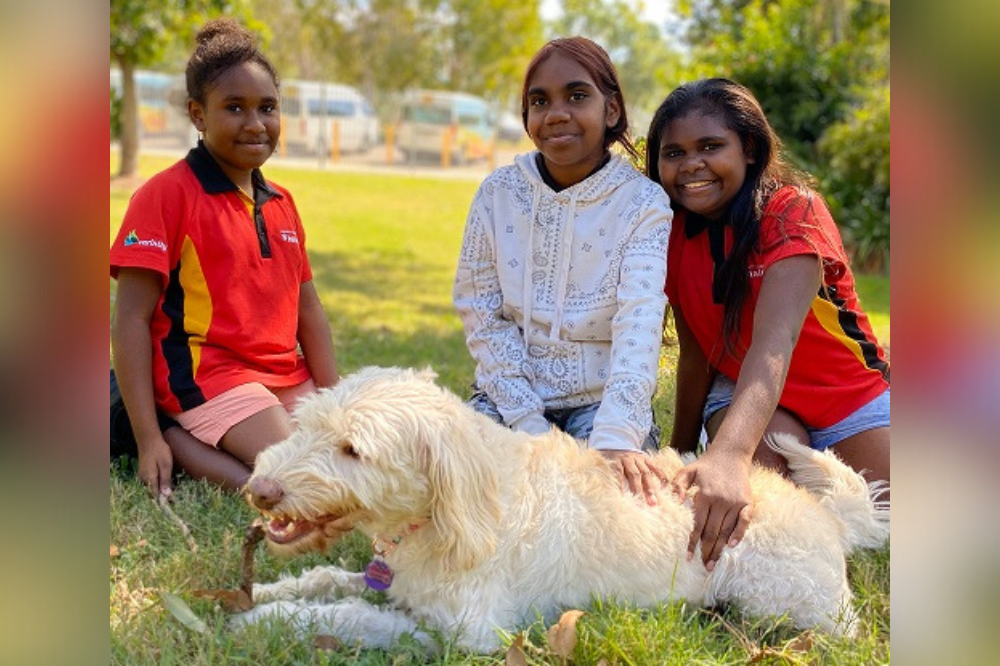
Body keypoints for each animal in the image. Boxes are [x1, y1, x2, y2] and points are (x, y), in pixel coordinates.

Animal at [236, 364, 892, 648]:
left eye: (353, 450)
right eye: (308, 425)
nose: (260, 489)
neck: (456, 508)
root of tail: (830, 518)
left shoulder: (472, 634)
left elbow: (358, 617)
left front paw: (265, 619)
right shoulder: (395, 578)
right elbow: (326, 578)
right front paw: (262, 594)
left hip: (792, 609)